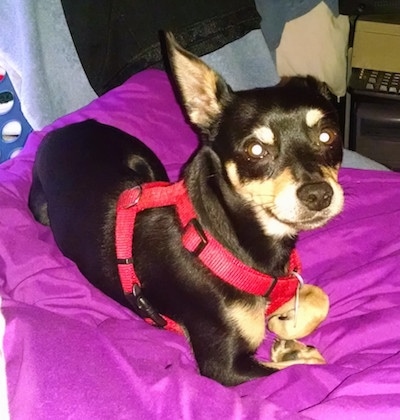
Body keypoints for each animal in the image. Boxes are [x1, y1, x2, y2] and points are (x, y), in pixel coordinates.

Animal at [28, 32, 344, 386]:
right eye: (255, 149)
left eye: (328, 135)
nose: (319, 195)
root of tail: (62, 129)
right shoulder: (224, 368)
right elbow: (310, 364)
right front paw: (289, 347)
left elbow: (319, 298)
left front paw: (285, 328)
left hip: (148, 166)